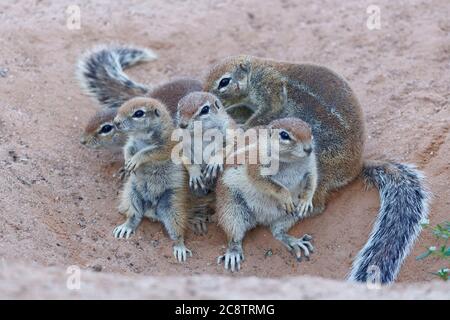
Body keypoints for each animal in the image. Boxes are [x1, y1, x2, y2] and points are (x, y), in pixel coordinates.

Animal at [112, 96, 211, 262]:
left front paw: (135, 160)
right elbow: (127, 148)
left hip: (172, 207)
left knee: (177, 231)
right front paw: (127, 164)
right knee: (134, 216)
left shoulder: (165, 146)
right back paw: (125, 227)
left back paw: (180, 247)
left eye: (139, 113)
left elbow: (149, 152)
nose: (115, 122)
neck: (142, 138)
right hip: (131, 194)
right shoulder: (132, 143)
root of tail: (151, 212)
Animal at [216, 118, 318, 272]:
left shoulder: (310, 165)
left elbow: (312, 179)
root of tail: (262, 218)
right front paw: (285, 196)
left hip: (290, 215)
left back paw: (293, 241)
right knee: (234, 234)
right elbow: (270, 184)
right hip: (231, 207)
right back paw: (233, 251)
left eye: (310, 129)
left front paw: (306, 201)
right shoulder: (257, 167)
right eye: (284, 135)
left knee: (277, 232)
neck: (291, 162)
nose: (309, 149)